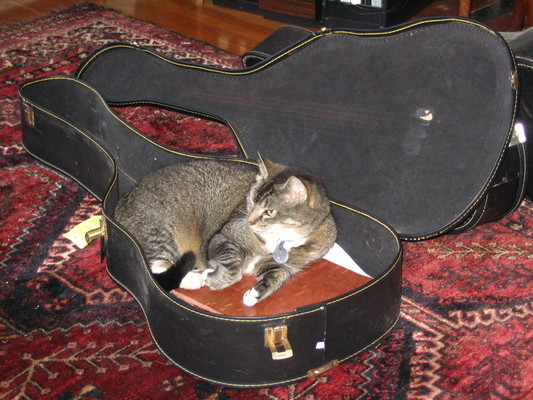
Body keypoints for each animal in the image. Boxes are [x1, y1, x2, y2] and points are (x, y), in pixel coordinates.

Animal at [114, 157, 334, 306]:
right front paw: (216, 279)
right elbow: (232, 269)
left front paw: (255, 294)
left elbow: (277, 276)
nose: (249, 220)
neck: (279, 239)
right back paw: (192, 278)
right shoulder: (224, 237)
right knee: (156, 268)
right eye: (251, 200)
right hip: (159, 228)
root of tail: (120, 203)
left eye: (269, 212)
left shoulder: (283, 264)